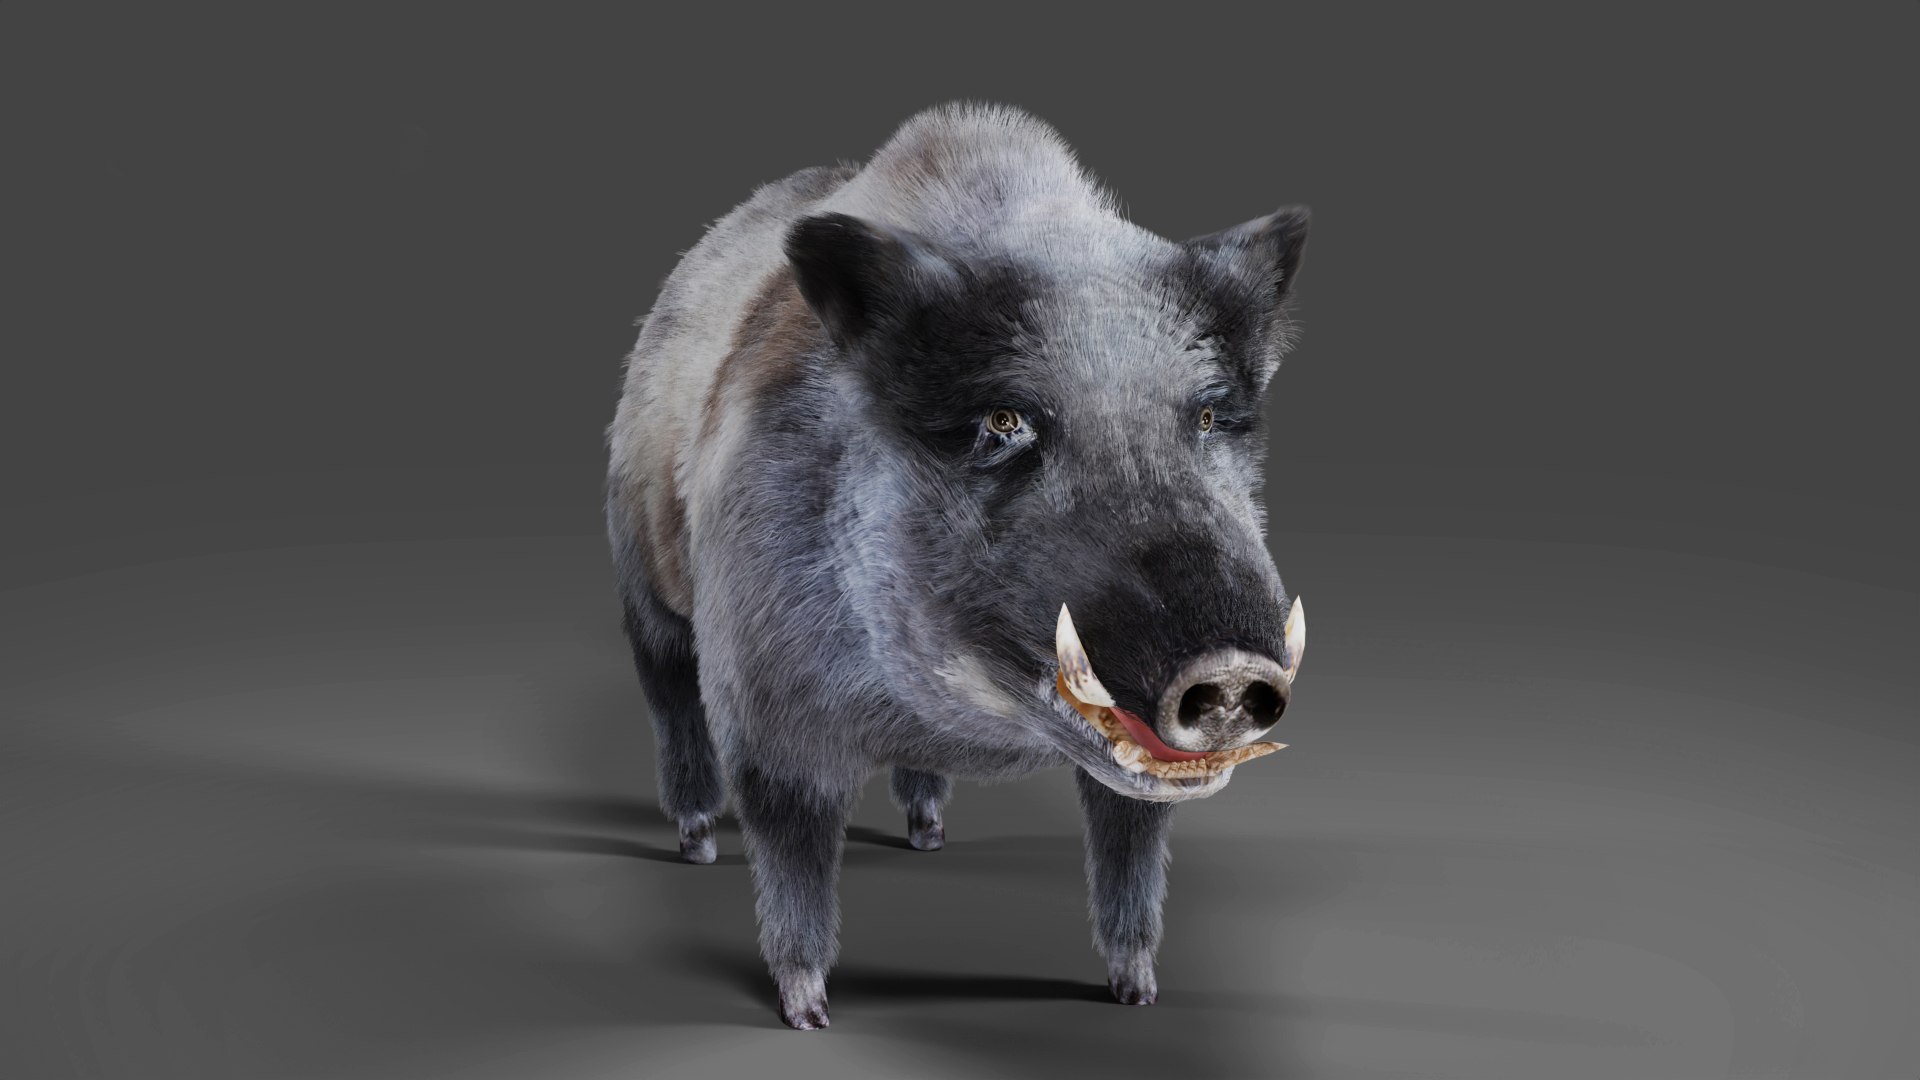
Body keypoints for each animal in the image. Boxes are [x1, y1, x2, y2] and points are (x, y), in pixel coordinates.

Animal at [604, 101, 1309, 1030]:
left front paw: (1136, 994)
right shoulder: (765, 703)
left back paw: (928, 836)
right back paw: (696, 845)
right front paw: (807, 1013)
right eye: (1004, 422)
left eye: (1204, 416)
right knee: (667, 696)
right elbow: (793, 846)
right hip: (641, 579)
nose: (1228, 668)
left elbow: (1130, 844)